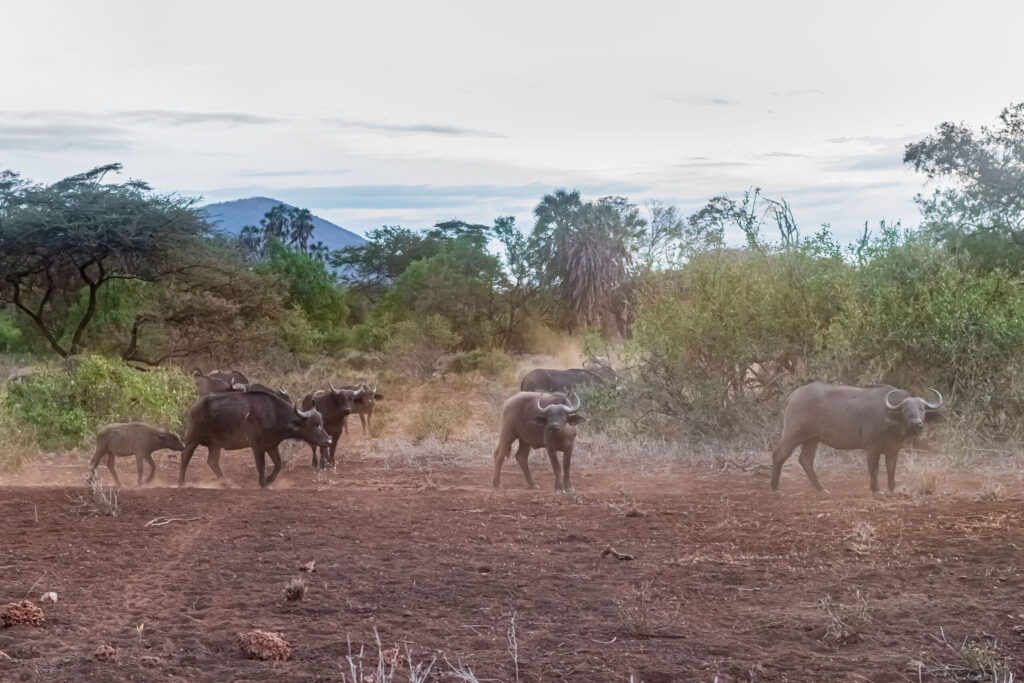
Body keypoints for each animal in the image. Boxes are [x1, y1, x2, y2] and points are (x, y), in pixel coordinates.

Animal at [178, 388, 331, 487]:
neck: (275, 415)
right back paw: (182, 483)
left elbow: (278, 464)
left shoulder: (271, 445)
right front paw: (263, 483)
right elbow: (261, 465)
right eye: (314, 424)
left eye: (322, 423)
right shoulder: (257, 446)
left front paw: (269, 480)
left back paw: (226, 483)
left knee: (212, 461)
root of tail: (195, 406)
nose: (328, 441)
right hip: (192, 438)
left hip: (215, 444)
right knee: (185, 456)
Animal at [771, 382, 943, 494]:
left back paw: (821, 489)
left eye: (922, 409)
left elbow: (891, 469)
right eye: (906, 410)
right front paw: (876, 489)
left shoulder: (893, 450)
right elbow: (874, 467)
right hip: (793, 434)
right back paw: (774, 488)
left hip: (812, 439)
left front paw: (891, 489)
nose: (917, 423)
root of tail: (793, 395)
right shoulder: (872, 447)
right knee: (779, 455)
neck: (890, 418)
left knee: (806, 460)